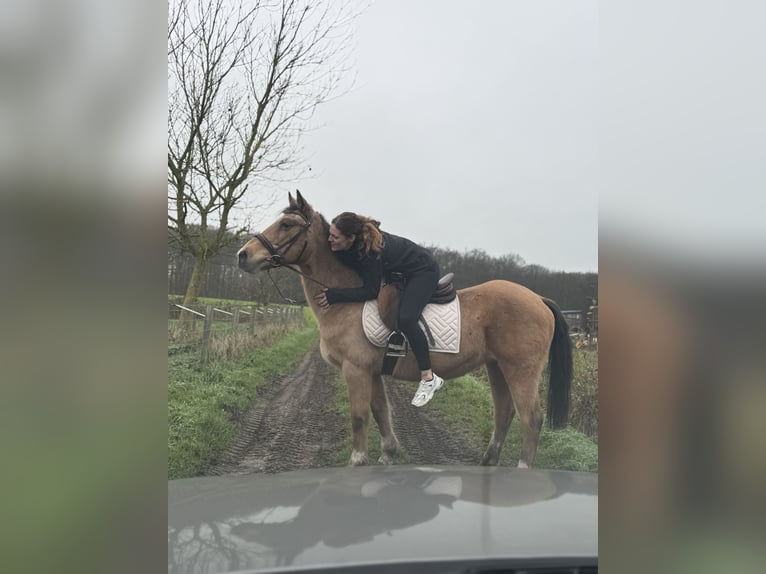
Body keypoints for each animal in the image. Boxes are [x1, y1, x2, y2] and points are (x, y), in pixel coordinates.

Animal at [237, 191, 573, 468]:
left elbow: (360, 416)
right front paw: (388, 452)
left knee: (531, 418)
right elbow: (380, 411)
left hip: (520, 370)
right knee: (504, 413)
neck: (347, 300)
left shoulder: (355, 369)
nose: (243, 256)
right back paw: (488, 464)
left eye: (287, 224)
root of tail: (538, 299)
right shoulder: (371, 372)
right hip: (496, 367)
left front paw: (357, 461)